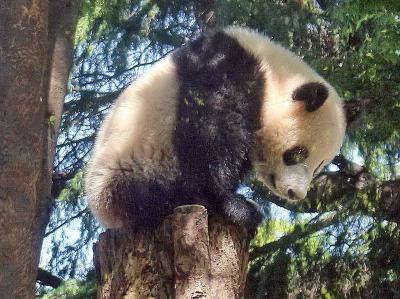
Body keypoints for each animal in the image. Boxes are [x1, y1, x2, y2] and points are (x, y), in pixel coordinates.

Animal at [85, 27, 346, 231]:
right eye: (298, 153)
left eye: (319, 167)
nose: (295, 193)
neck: (274, 72)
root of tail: (103, 213)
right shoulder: (223, 66)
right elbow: (211, 129)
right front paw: (233, 204)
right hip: (133, 168)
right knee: (154, 196)